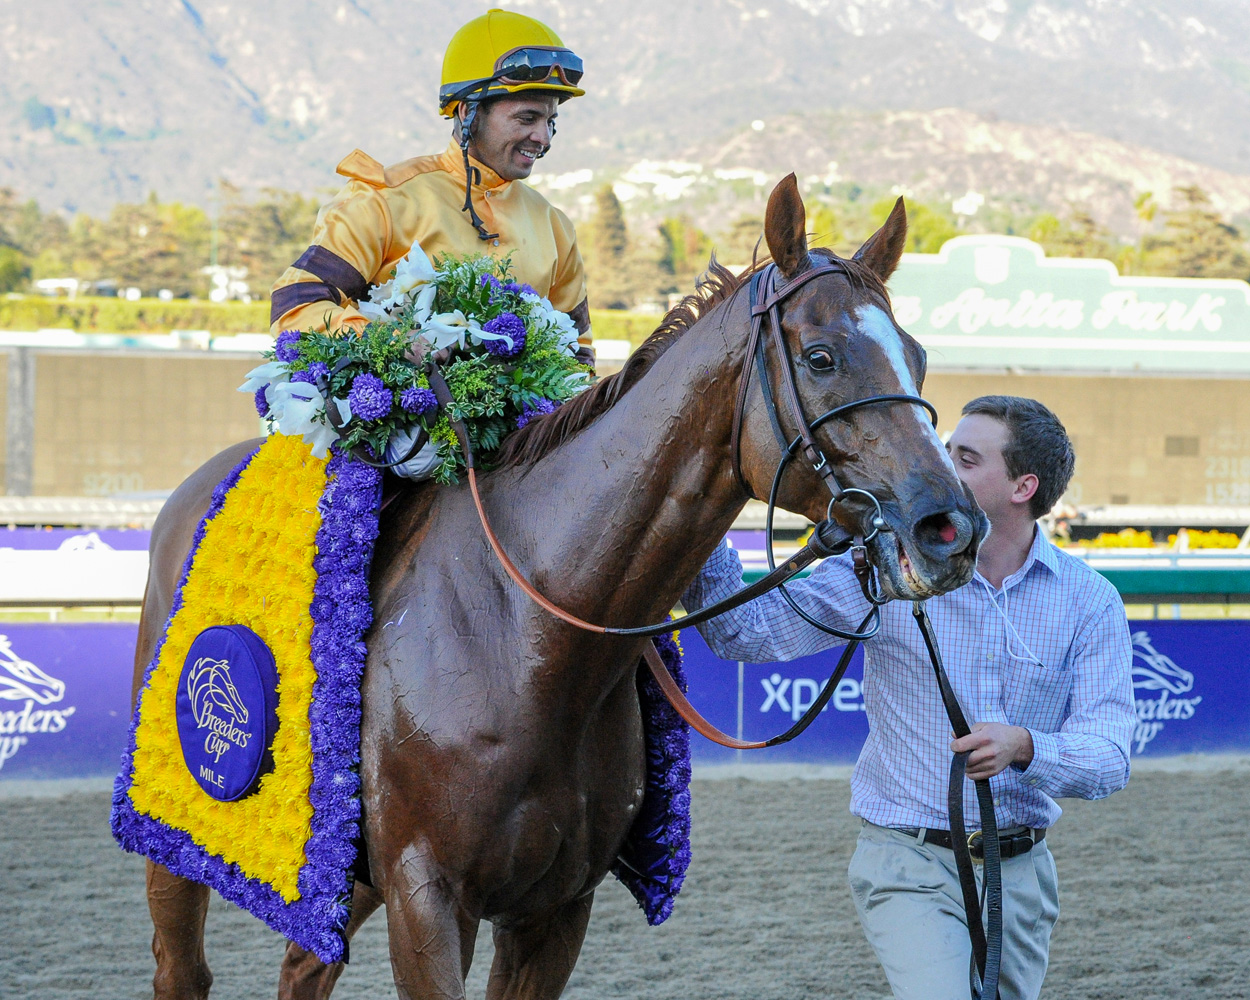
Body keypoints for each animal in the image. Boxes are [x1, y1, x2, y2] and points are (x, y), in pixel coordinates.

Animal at [134, 176, 985, 995]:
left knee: (305, 965)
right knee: (183, 969)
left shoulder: (555, 906)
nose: (950, 527)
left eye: (917, 356)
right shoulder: (426, 894)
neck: (527, 639)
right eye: (821, 356)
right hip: (175, 814)